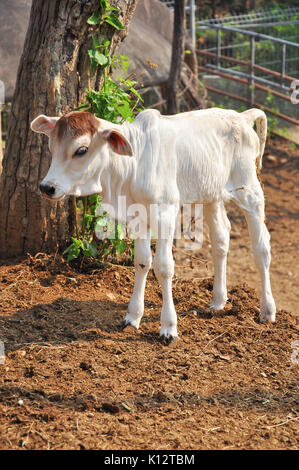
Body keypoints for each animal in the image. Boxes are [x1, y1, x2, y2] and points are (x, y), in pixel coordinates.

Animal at [31, 106, 278, 342]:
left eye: (81, 150)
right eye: (52, 146)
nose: (47, 187)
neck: (133, 165)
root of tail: (242, 117)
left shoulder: (166, 214)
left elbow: (164, 267)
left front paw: (168, 327)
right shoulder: (137, 216)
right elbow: (142, 262)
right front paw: (132, 317)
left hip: (249, 189)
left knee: (262, 248)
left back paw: (267, 310)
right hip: (212, 195)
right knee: (221, 240)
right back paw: (218, 300)